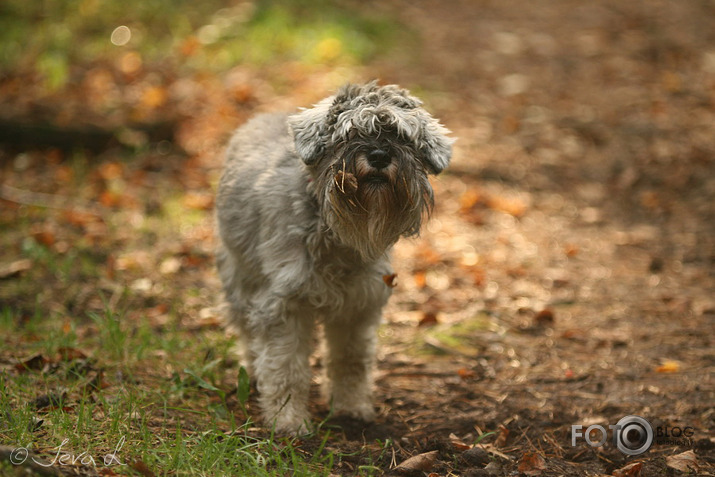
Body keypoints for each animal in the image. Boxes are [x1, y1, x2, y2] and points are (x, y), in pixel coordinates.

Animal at [215, 82, 456, 436]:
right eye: (350, 132)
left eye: (401, 135)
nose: (379, 155)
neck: (337, 236)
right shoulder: (283, 305)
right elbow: (286, 367)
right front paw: (288, 421)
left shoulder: (357, 306)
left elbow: (350, 361)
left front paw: (351, 408)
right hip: (240, 275)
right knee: (246, 330)